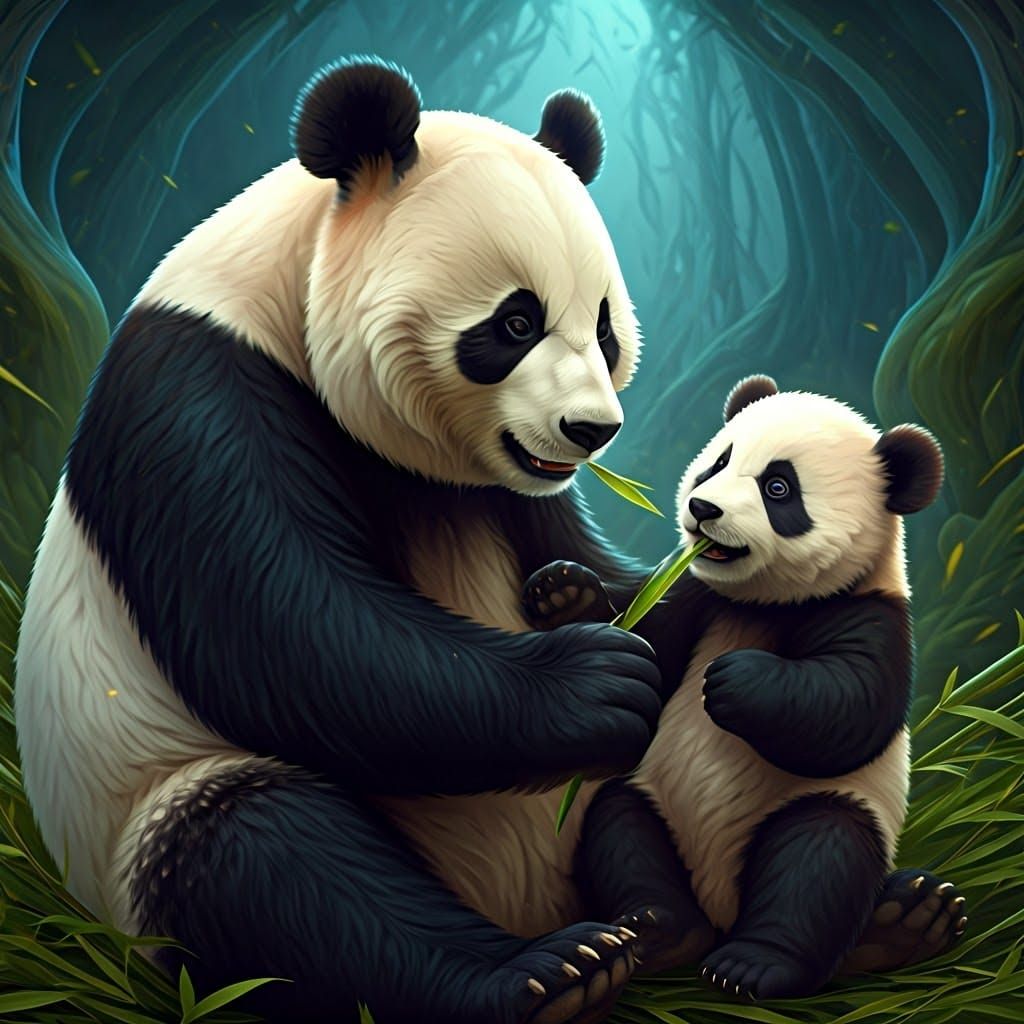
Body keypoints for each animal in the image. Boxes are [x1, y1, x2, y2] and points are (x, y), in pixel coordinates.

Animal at [15, 57, 664, 1024]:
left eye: (605, 325)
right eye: (515, 323)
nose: (591, 430)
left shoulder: (507, 488)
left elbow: (589, 555)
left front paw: (582, 595)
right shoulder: (199, 392)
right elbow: (286, 628)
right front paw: (599, 679)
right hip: (146, 818)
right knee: (270, 863)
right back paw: (553, 972)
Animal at [524, 375, 967, 1002]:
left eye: (779, 488)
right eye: (719, 462)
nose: (702, 508)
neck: (759, 604)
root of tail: (721, 907)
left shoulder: (870, 611)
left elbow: (852, 713)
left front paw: (737, 679)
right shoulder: (695, 595)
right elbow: (647, 641)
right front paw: (563, 592)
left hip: (820, 807)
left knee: (818, 858)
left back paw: (767, 960)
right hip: (656, 799)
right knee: (621, 829)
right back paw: (658, 930)